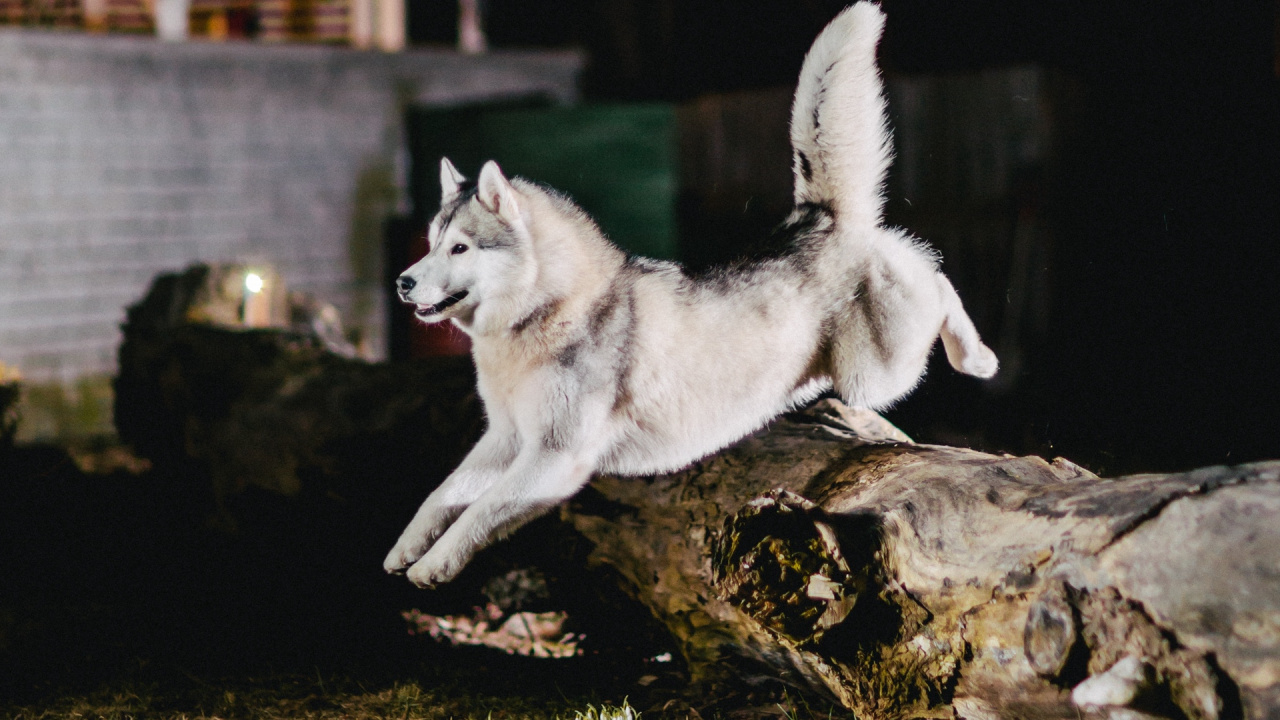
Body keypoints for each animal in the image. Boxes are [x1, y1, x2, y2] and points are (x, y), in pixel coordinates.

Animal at [385, 1, 997, 588]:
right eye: (431, 242)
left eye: (460, 248)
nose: (403, 282)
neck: (542, 315)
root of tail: (815, 218)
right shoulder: (507, 438)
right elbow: (444, 493)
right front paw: (406, 548)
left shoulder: (556, 457)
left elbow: (480, 509)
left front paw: (435, 564)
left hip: (873, 374)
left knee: (932, 272)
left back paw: (977, 356)